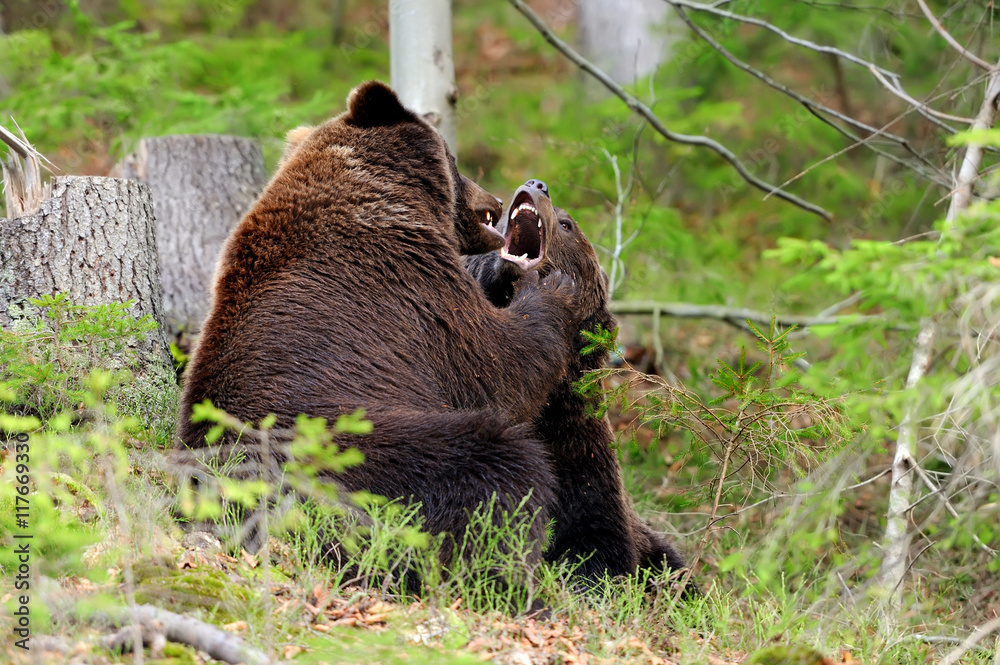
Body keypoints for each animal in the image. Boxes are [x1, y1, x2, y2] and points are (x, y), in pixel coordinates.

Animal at [176, 81, 584, 568]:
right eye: (455, 161)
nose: (497, 199)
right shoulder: (413, 291)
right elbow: (497, 368)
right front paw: (551, 289)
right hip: (364, 447)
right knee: (498, 459)